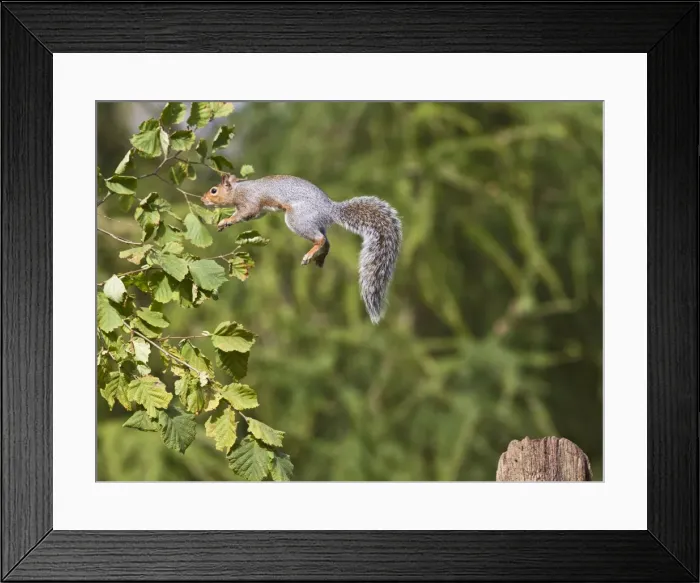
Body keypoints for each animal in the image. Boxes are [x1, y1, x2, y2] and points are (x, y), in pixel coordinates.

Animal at [201, 174, 402, 324]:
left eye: (214, 190)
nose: (203, 199)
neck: (239, 189)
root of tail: (329, 210)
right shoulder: (258, 211)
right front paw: (223, 223)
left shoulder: (250, 202)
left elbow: (244, 213)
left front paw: (226, 220)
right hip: (312, 223)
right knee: (327, 242)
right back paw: (319, 258)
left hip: (298, 219)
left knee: (321, 240)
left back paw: (309, 255)